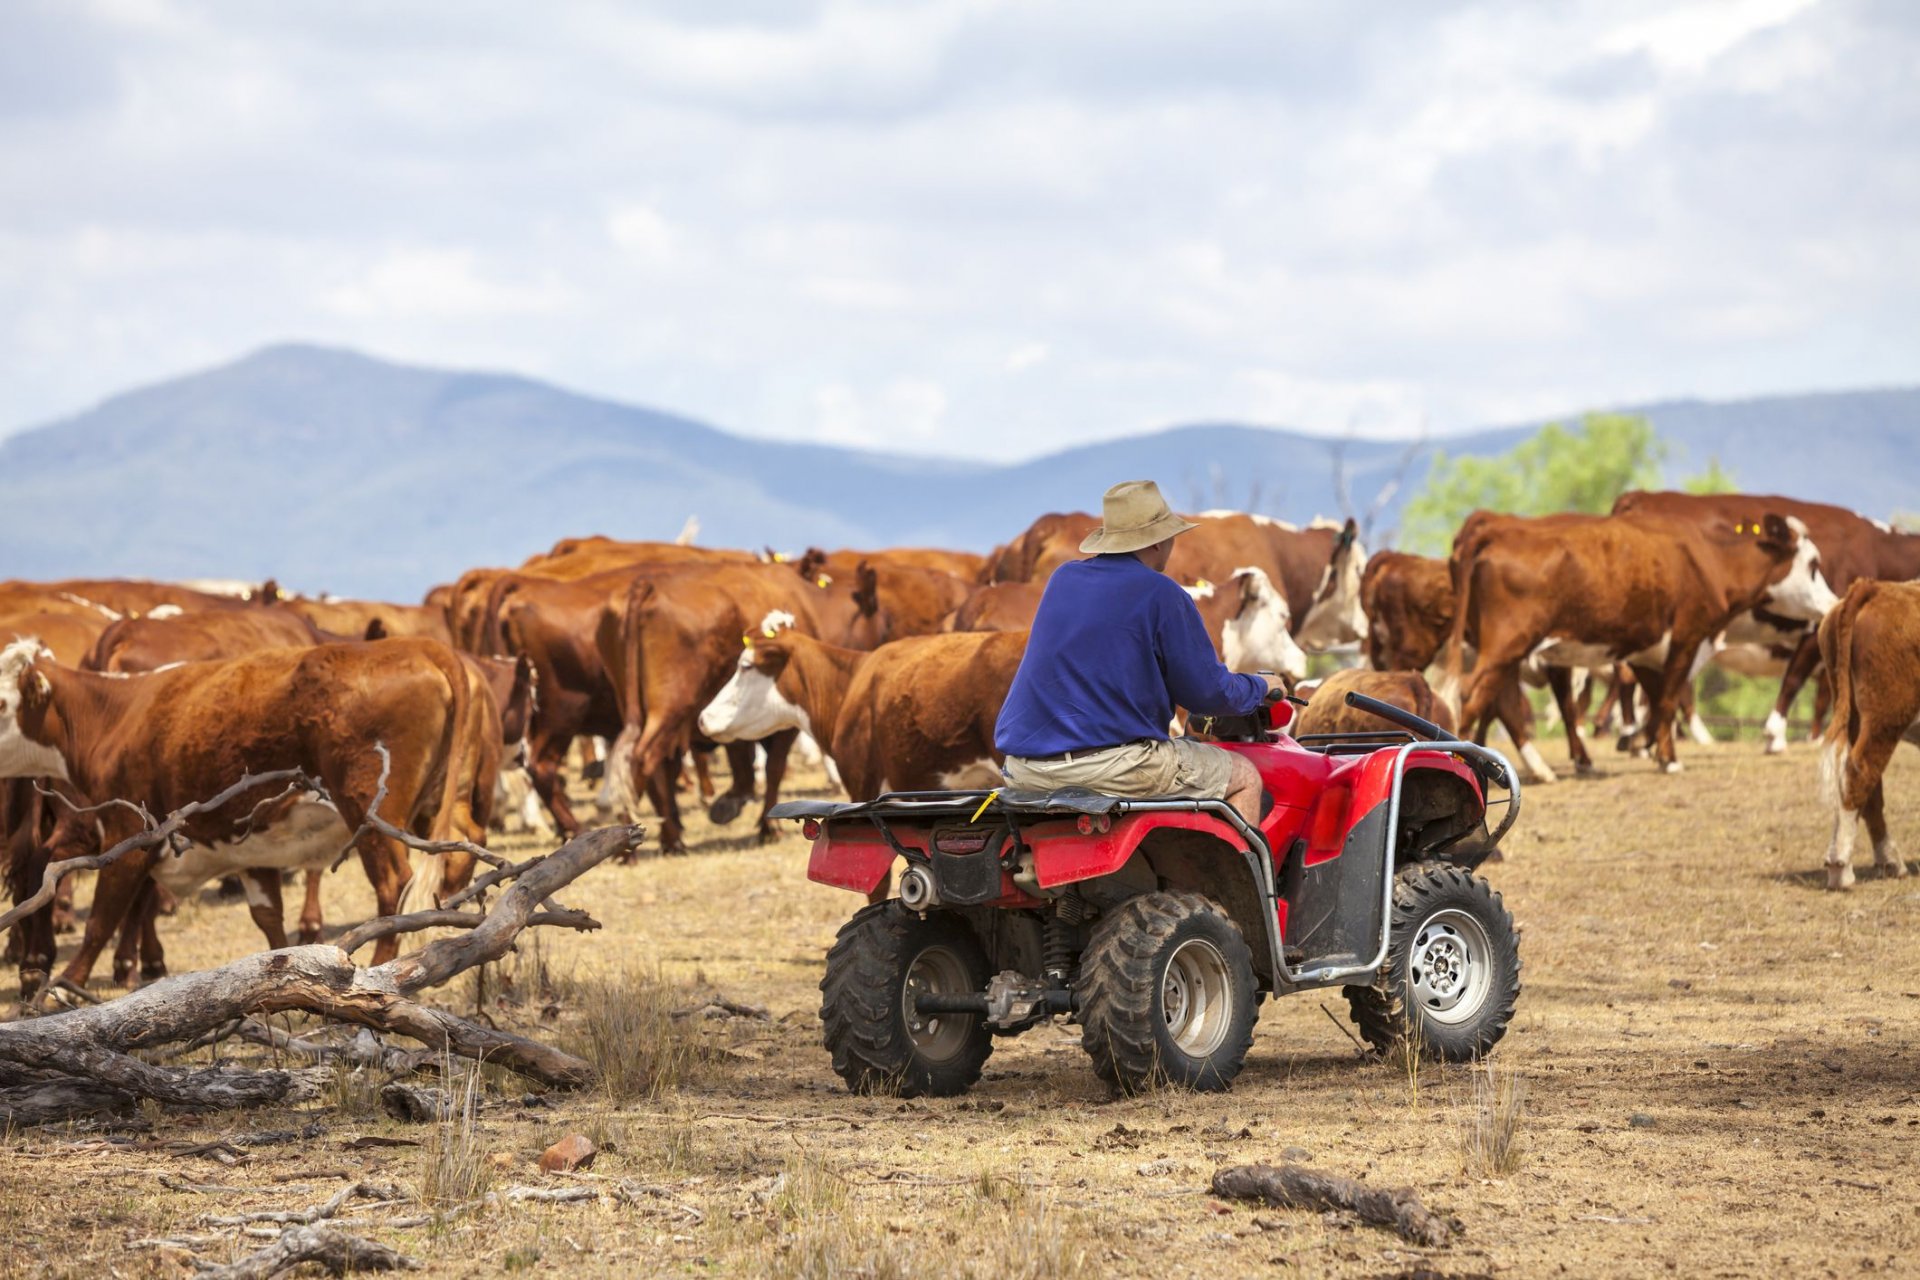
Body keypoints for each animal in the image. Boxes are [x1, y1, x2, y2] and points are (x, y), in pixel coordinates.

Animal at [1, 640, 495, 990]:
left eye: (3, 703)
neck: (117, 715)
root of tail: (425, 646)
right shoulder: (253, 849)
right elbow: (268, 917)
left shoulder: (128, 838)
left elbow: (103, 917)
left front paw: (65, 985)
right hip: (450, 802)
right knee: (460, 852)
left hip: (369, 815)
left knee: (394, 882)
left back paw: (382, 967)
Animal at [1812, 579, 1920, 890]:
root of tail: (1876, 587)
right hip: (1885, 716)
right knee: (1859, 774)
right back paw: (1841, 868)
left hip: (1856, 717)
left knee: (1864, 781)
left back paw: (1890, 861)